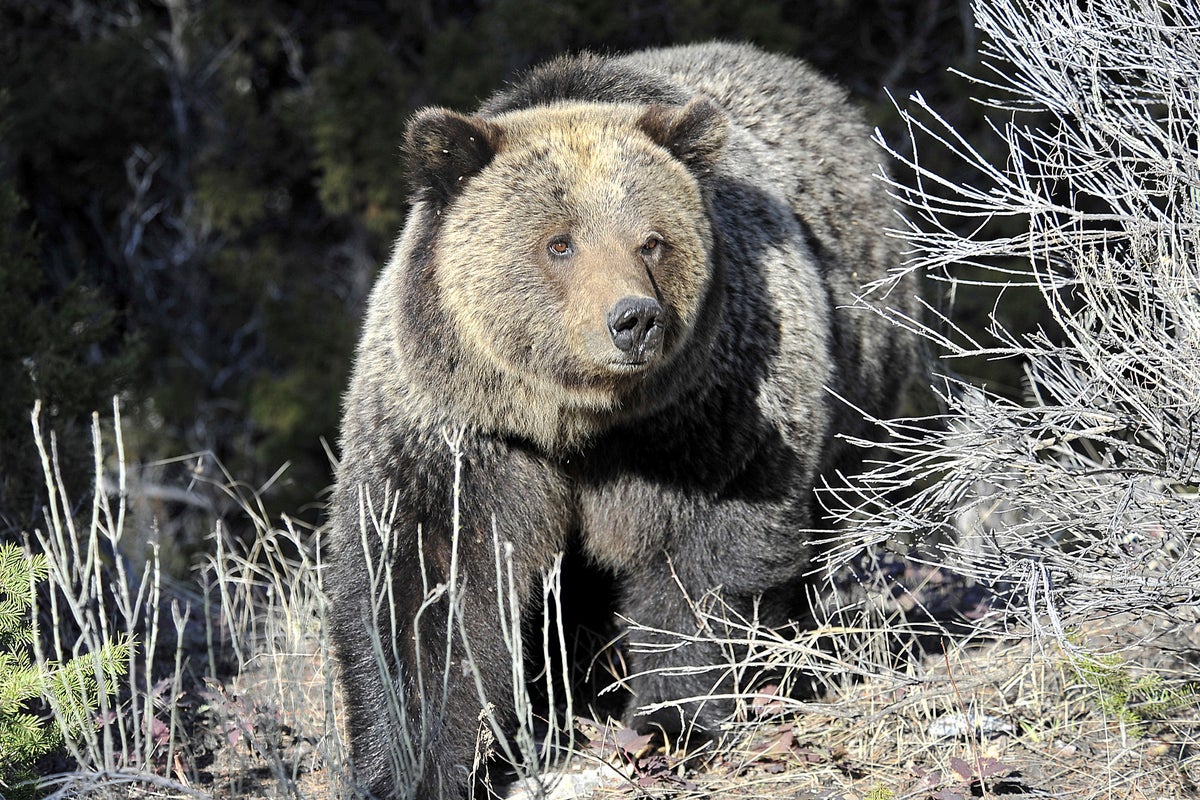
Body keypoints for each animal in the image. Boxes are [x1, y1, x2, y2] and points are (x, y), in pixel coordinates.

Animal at [327, 41, 916, 799]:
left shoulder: (708, 418)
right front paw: (408, 763)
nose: (634, 319)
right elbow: (426, 587)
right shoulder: (462, 434)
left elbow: (703, 564)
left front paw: (672, 723)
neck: (578, 424)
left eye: (652, 241)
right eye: (559, 243)